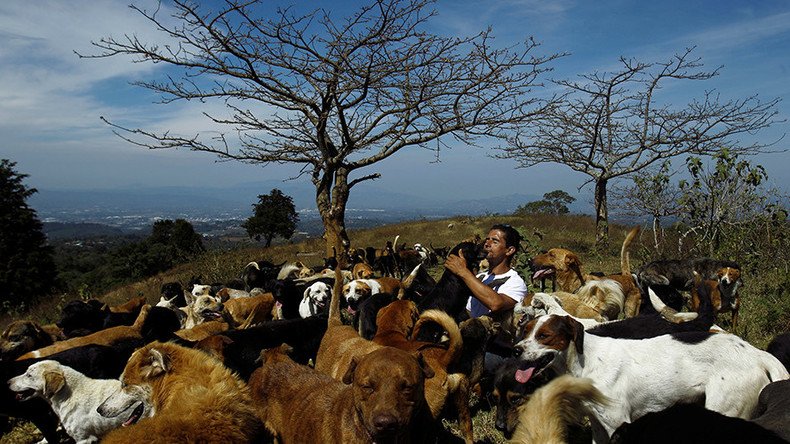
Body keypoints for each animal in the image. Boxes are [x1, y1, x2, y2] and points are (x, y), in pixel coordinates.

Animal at [516, 314, 788, 442]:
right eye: (525, 331)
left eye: (544, 336)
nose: (516, 350)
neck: (586, 360)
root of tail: (757, 353)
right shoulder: (598, 425)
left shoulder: (618, 423)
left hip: (726, 412)